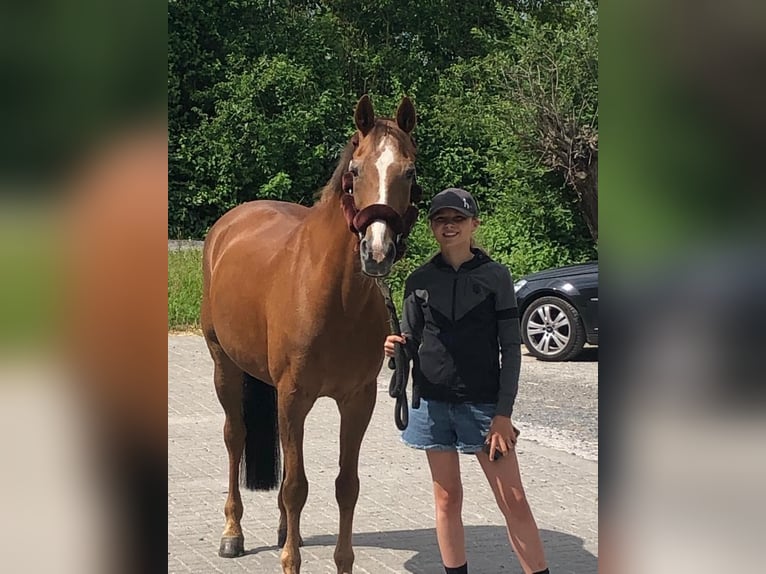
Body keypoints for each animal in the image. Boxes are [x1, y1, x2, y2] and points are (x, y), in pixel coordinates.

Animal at [201, 97, 420, 572]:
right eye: (355, 170)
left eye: (409, 172)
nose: (377, 252)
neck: (334, 297)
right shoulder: (294, 395)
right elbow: (296, 487)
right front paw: (290, 561)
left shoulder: (358, 400)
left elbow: (345, 485)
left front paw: (340, 560)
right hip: (224, 365)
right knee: (235, 437)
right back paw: (233, 534)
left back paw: (287, 532)